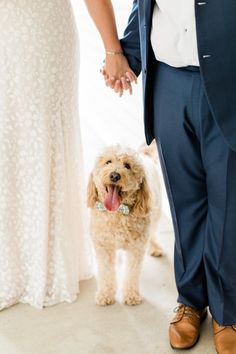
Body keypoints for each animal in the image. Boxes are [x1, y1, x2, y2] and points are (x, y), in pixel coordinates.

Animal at [86, 145, 162, 306]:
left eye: (127, 165)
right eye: (108, 162)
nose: (115, 176)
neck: (118, 213)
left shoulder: (136, 248)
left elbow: (132, 273)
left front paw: (131, 295)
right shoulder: (104, 247)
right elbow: (106, 272)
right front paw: (105, 294)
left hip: (156, 211)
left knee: (153, 232)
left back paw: (155, 247)